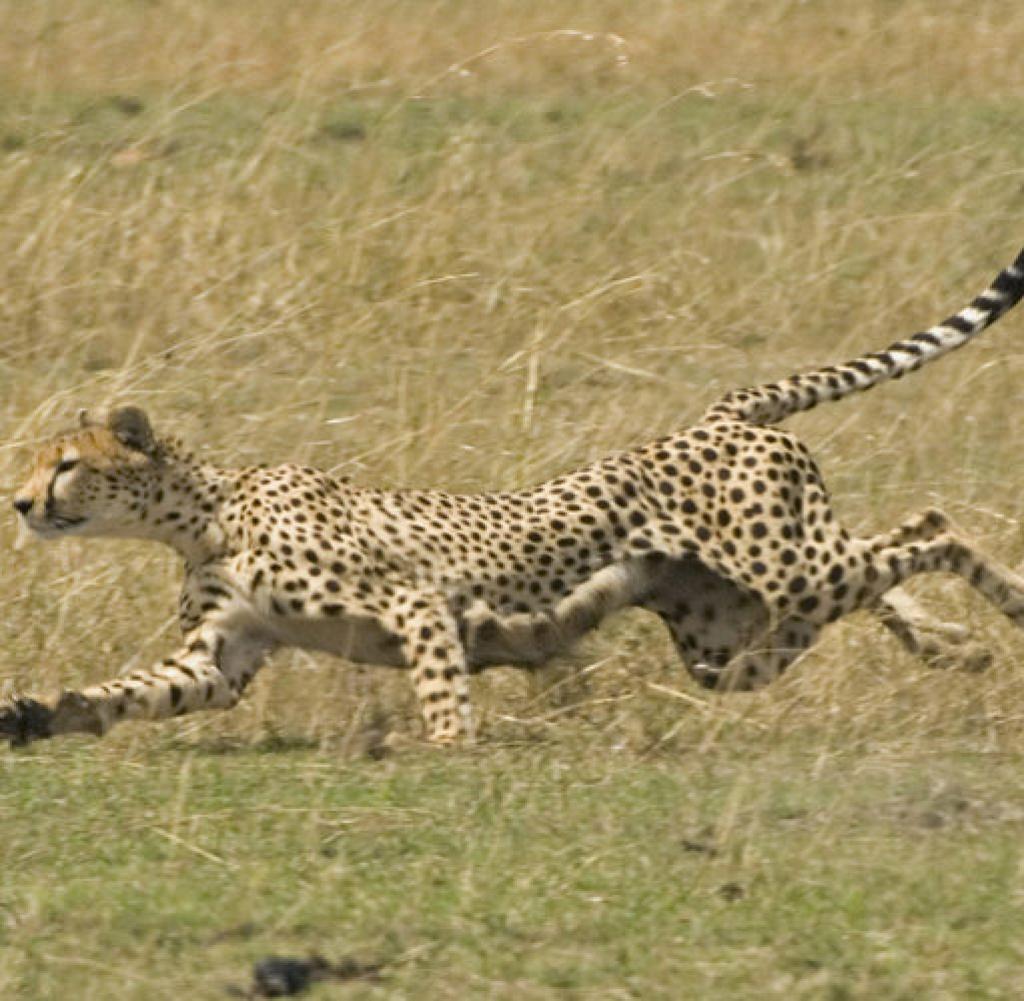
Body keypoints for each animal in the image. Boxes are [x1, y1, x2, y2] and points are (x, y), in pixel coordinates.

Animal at [2, 243, 1024, 741]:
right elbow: (136, 690)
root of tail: (720, 412)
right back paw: (951, 643)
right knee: (886, 554)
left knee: (933, 524)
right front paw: (42, 714)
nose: (20, 503)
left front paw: (452, 749)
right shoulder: (223, 656)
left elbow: (442, 691)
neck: (203, 513)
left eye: (66, 463)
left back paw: (1002, 608)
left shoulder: (413, 600)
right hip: (738, 638)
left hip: (785, 576)